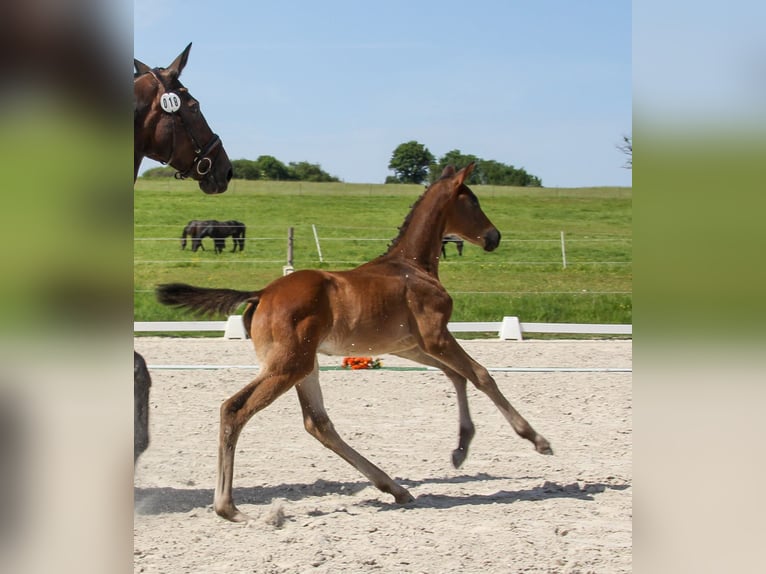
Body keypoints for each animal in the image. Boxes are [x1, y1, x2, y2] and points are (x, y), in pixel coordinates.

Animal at [157, 163, 552, 522]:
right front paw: (536, 439)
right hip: (288, 366)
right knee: (235, 409)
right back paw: (228, 507)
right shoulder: (436, 336)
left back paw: (394, 487)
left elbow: (457, 376)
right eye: (473, 201)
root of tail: (262, 293)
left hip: (304, 366)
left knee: (317, 423)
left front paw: (461, 449)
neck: (412, 266)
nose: (494, 237)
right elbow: (482, 375)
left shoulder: (410, 346)